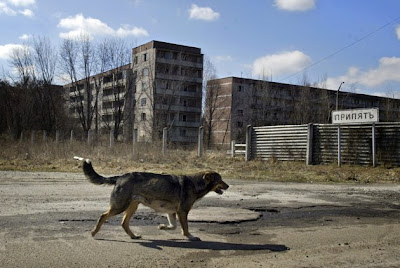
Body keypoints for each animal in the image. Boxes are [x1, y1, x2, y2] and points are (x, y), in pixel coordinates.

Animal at [72, 155, 228, 241]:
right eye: (220, 179)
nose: (228, 186)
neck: (196, 183)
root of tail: (121, 176)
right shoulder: (182, 212)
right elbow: (185, 228)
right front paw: (191, 237)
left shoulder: (172, 212)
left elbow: (174, 225)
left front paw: (163, 227)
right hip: (119, 206)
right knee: (103, 216)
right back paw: (94, 232)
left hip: (132, 206)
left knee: (124, 223)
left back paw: (133, 236)